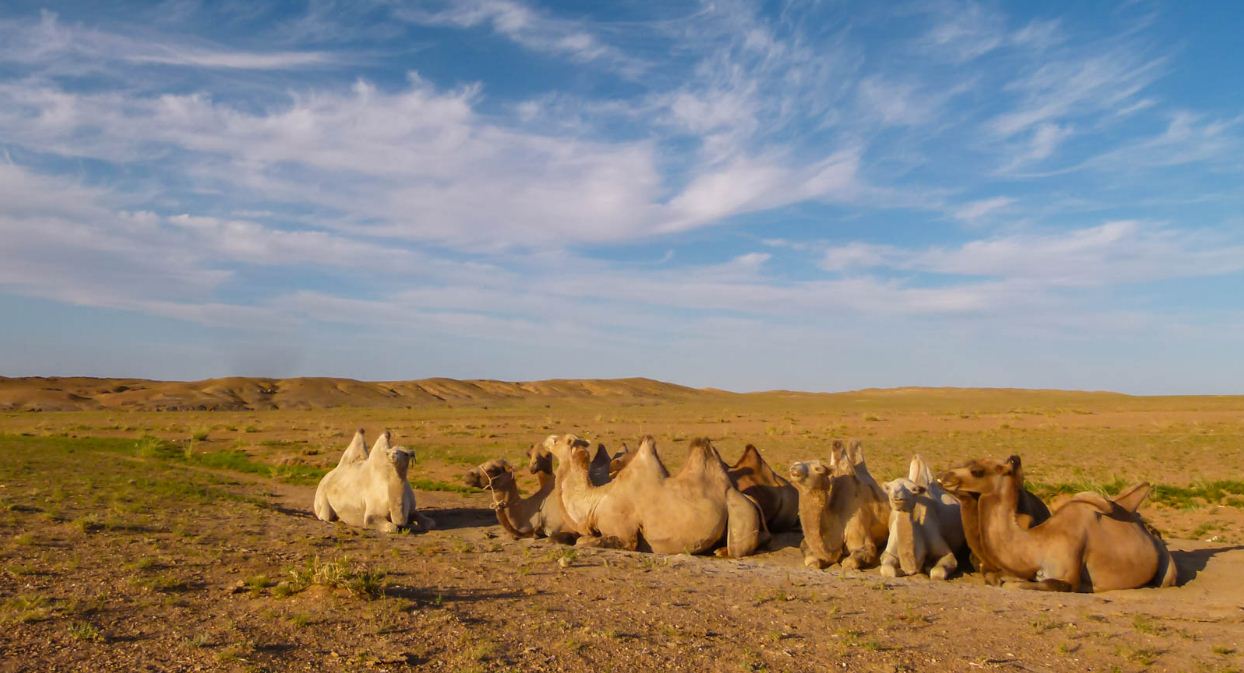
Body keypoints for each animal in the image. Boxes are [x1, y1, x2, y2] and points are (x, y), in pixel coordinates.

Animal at [551, 435, 764, 557]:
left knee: (738, 549)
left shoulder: (625, 533)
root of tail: (748, 498)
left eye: (561, 440)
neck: (597, 500)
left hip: (741, 511)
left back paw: (721, 551)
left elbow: (583, 542)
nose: (548, 439)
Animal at [938, 456, 1177, 592]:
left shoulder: (1068, 576)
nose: (942, 476)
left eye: (976, 471)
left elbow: (1030, 584)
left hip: (1167, 571)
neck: (1035, 543)